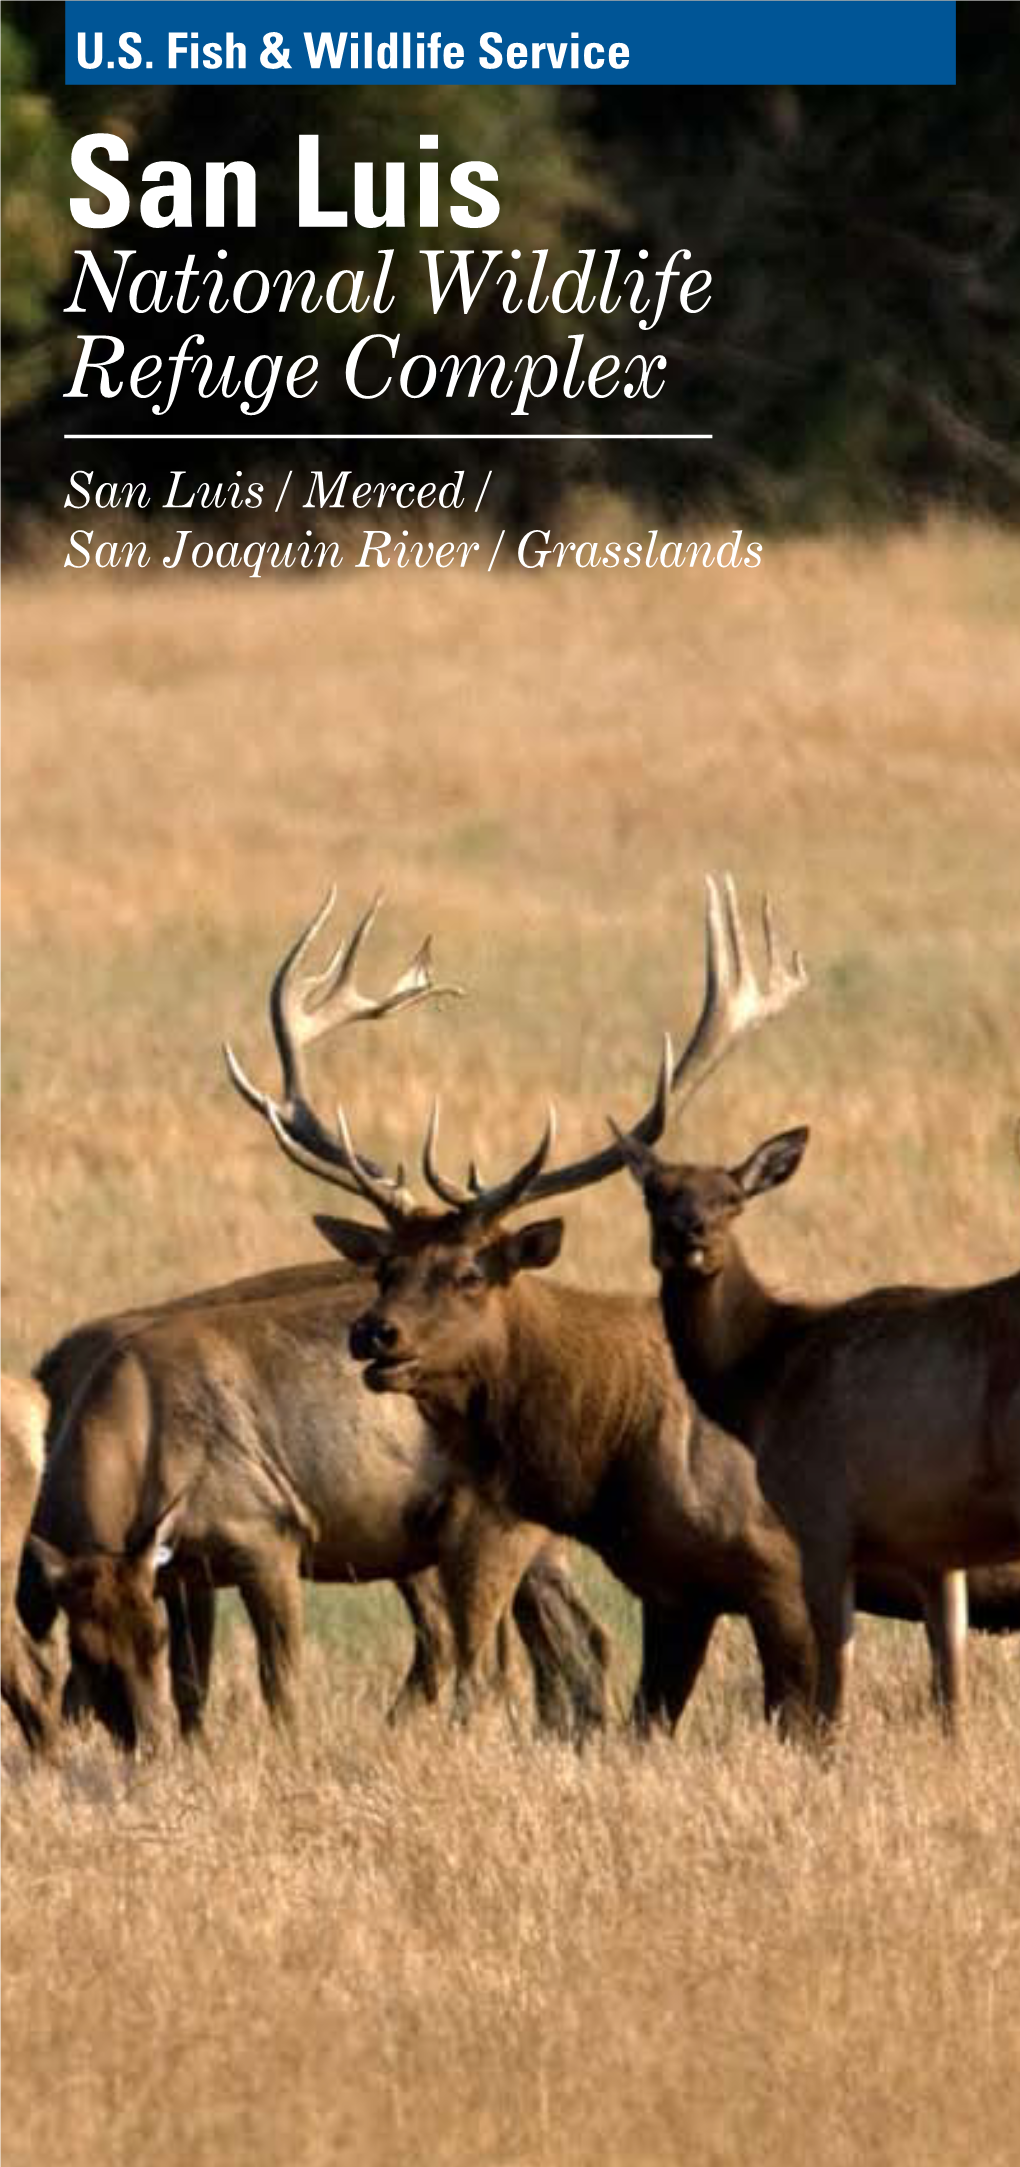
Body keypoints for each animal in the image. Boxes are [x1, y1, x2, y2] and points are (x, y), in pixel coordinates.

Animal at [27, 897, 610, 1759]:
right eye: (87, 1652)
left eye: (149, 1640)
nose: (145, 1742)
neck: (125, 1419)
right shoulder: (181, 1569)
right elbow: (196, 1690)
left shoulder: (267, 1533)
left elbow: (280, 1689)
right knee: (559, 1641)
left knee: (508, 1652)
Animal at [606, 871, 1020, 1733]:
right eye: (656, 1194)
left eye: (733, 1197)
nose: (691, 1236)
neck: (768, 1377)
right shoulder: (935, 1543)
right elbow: (950, 1685)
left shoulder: (822, 1508)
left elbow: (829, 1689)